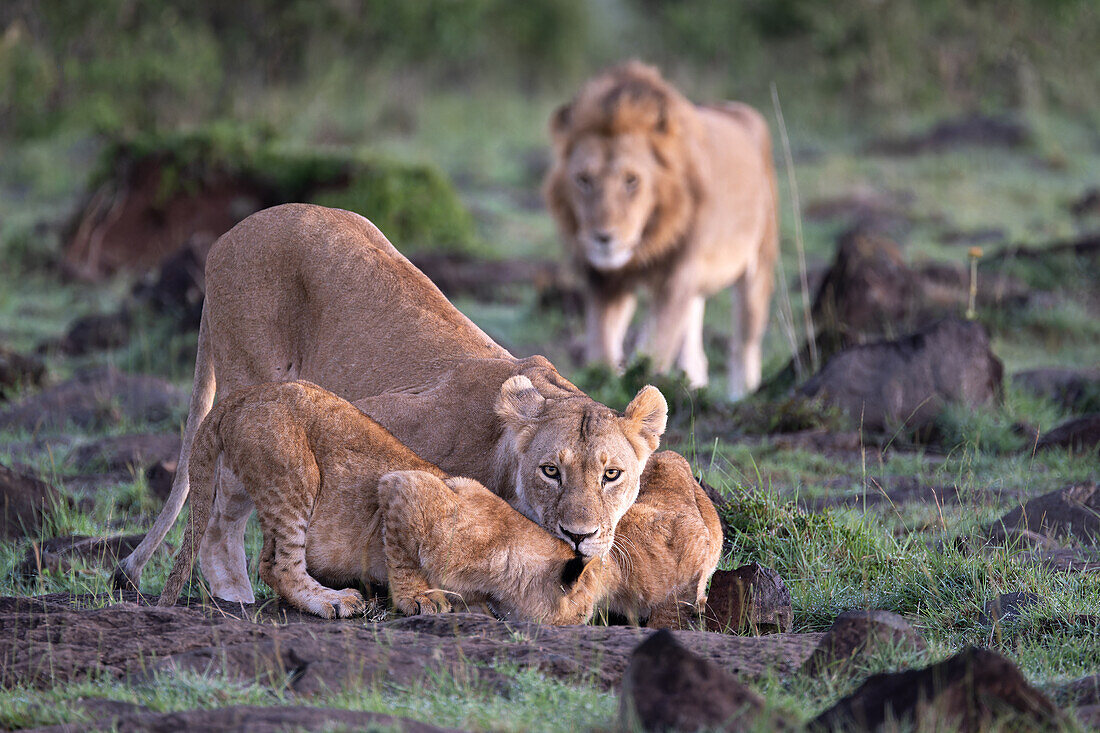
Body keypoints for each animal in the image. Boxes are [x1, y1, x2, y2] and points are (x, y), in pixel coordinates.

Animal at [157, 376, 602, 620]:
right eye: (582, 607)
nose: (583, 624)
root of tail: (242, 395)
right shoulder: (403, 488)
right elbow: (403, 556)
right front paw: (418, 599)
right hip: (293, 472)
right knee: (275, 564)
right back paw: (333, 601)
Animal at [545, 59, 778, 396]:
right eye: (584, 179)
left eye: (631, 180)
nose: (603, 238)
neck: (649, 236)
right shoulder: (606, 282)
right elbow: (602, 349)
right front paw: (601, 384)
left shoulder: (677, 277)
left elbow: (654, 350)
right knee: (695, 350)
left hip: (759, 260)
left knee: (745, 343)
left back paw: (740, 396)